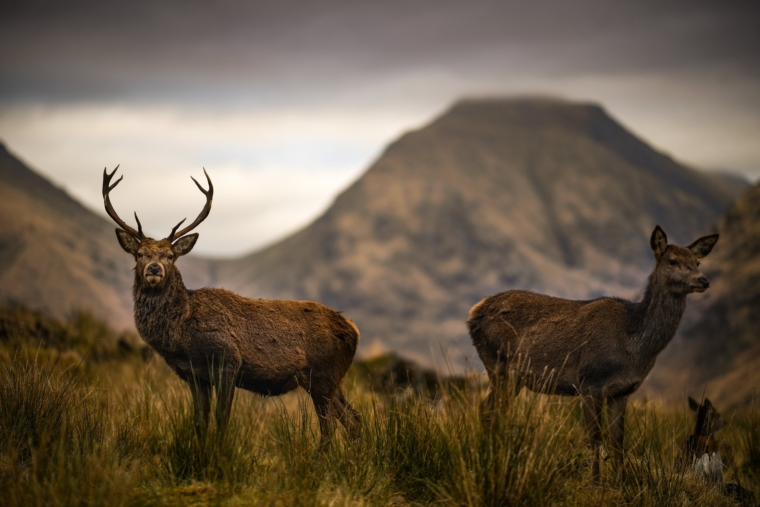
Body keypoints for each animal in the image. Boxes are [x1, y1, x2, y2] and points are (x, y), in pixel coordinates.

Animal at [103, 166, 362, 444]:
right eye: (139, 254)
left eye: (170, 256)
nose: (154, 268)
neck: (183, 333)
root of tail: (354, 331)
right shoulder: (194, 376)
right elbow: (199, 420)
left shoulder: (227, 362)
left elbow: (221, 418)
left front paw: (219, 450)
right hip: (333, 380)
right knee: (354, 418)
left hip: (322, 375)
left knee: (329, 427)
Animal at [470, 227, 720, 484]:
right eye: (673, 261)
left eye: (697, 262)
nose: (704, 280)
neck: (632, 344)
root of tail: (473, 313)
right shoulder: (590, 382)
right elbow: (595, 437)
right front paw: (595, 482)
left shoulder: (621, 392)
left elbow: (618, 439)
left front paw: (621, 482)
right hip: (499, 365)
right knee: (489, 410)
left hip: (512, 377)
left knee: (490, 409)